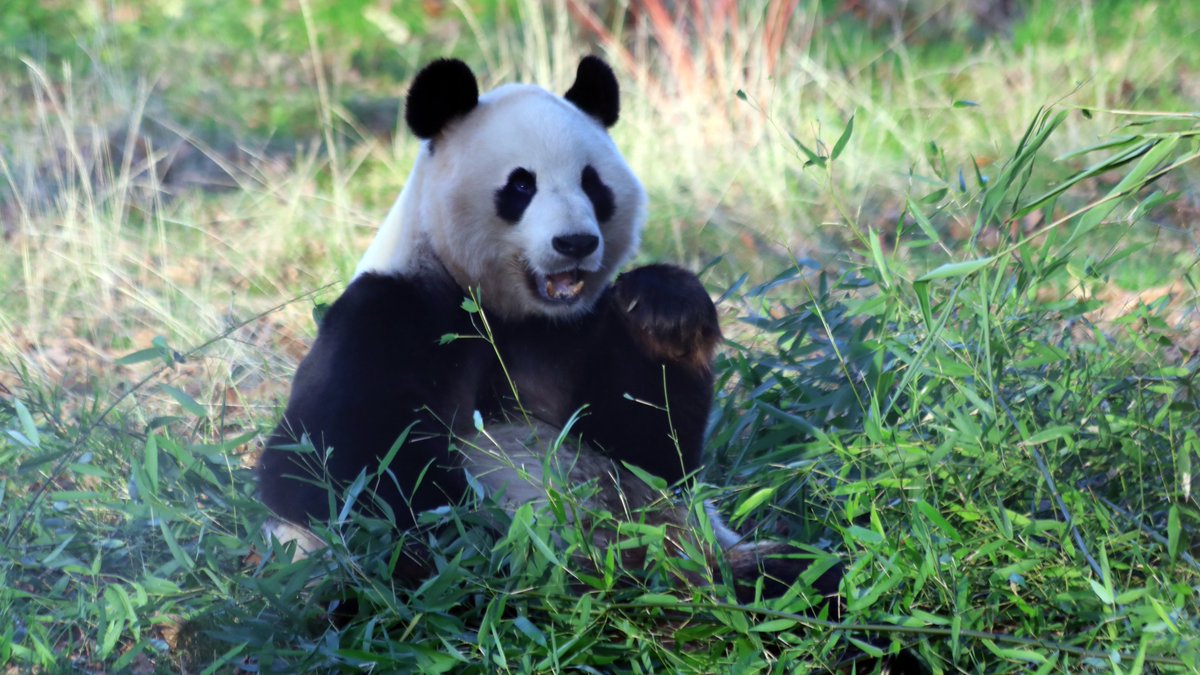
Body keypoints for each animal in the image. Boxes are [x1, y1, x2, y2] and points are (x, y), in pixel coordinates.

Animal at [257, 56, 840, 608]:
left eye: (593, 184)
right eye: (521, 184)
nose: (575, 242)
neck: (514, 312)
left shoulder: (580, 332)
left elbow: (652, 451)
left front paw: (665, 309)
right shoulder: (389, 316)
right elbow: (331, 476)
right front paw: (492, 540)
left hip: (718, 548)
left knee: (800, 572)